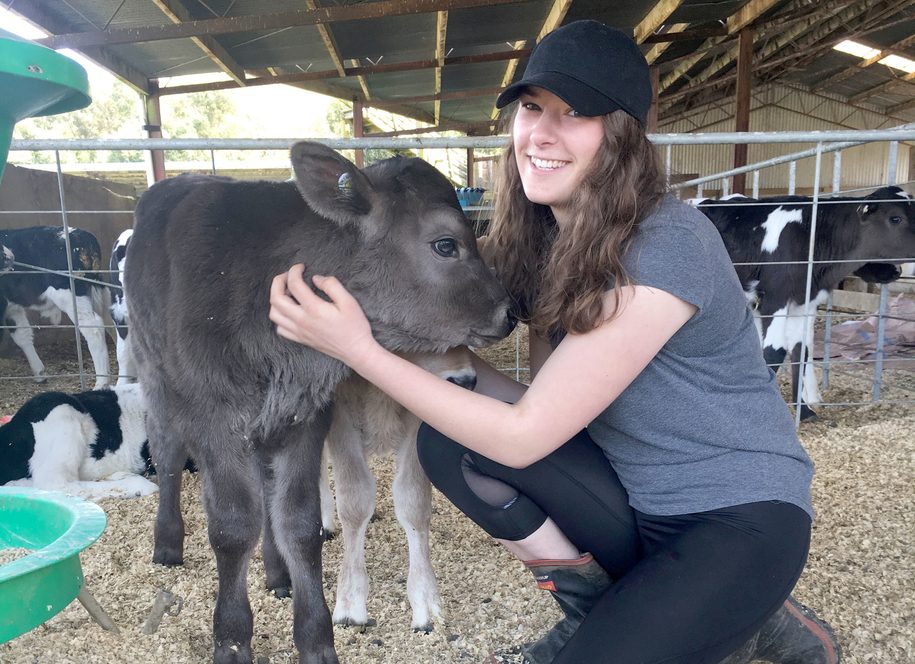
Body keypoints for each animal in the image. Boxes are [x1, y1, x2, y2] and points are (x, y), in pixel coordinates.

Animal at [0, 226, 113, 386]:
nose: (10, 256)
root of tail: (82, 235)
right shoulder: (13, 308)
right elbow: (23, 335)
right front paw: (39, 373)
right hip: (98, 289)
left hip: (69, 293)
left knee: (94, 330)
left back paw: (102, 382)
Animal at [125, 143, 516, 664]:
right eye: (446, 244)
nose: (508, 312)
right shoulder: (215, 417)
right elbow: (232, 527)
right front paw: (231, 640)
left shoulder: (305, 415)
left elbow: (300, 523)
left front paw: (316, 638)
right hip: (154, 372)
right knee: (167, 453)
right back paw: (168, 544)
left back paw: (277, 573)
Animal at [696, 184, 912, 418]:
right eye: (895, 218)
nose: (895, 272)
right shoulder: (775, 298)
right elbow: (775, 350)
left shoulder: (802, 302)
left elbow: (801, 350)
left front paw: (804, 411)